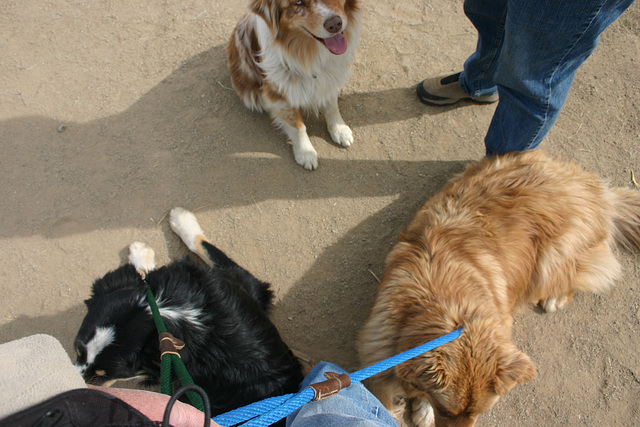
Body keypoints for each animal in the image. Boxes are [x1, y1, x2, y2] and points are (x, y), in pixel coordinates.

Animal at [74, 207, 304, 414]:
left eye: (104, 375)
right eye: (77, 350)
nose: (74, 384)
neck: (168, 309)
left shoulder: (252, 284)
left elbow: (204, 246)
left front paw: (152, 246)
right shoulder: (242, 284)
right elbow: (202, 245)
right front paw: (165, 235)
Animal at [228, 0, 362, 171]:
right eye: (298, 3)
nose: (335, 24)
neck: (310, 53)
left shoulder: (330, 77)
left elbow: (331, 106)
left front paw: (339, 129)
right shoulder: (278, 93)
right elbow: (297, 126)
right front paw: (305, 153)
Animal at [358, 150, 640, 427]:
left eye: (478, 413)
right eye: (446, 411)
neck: (445, 300)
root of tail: (596, 189)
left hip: (551, 260)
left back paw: (554, 298)